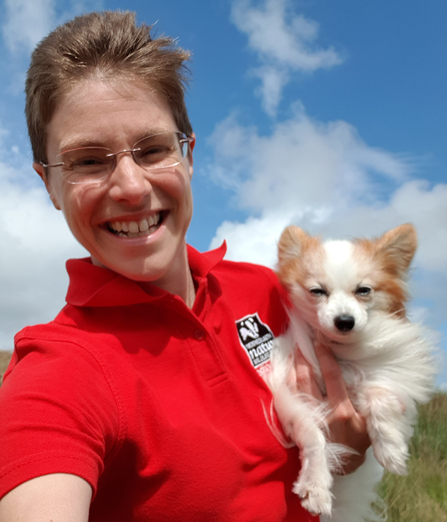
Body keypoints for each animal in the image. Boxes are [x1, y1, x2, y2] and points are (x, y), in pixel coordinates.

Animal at [266, 223, 438, 520]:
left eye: (363, 290)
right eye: (317, 291)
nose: (345, 320)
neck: (340, 354)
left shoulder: (379, 376)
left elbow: (380, 395)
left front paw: (392, 449)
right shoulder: (287, 394)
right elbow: (313, 434)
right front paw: (315, 485)